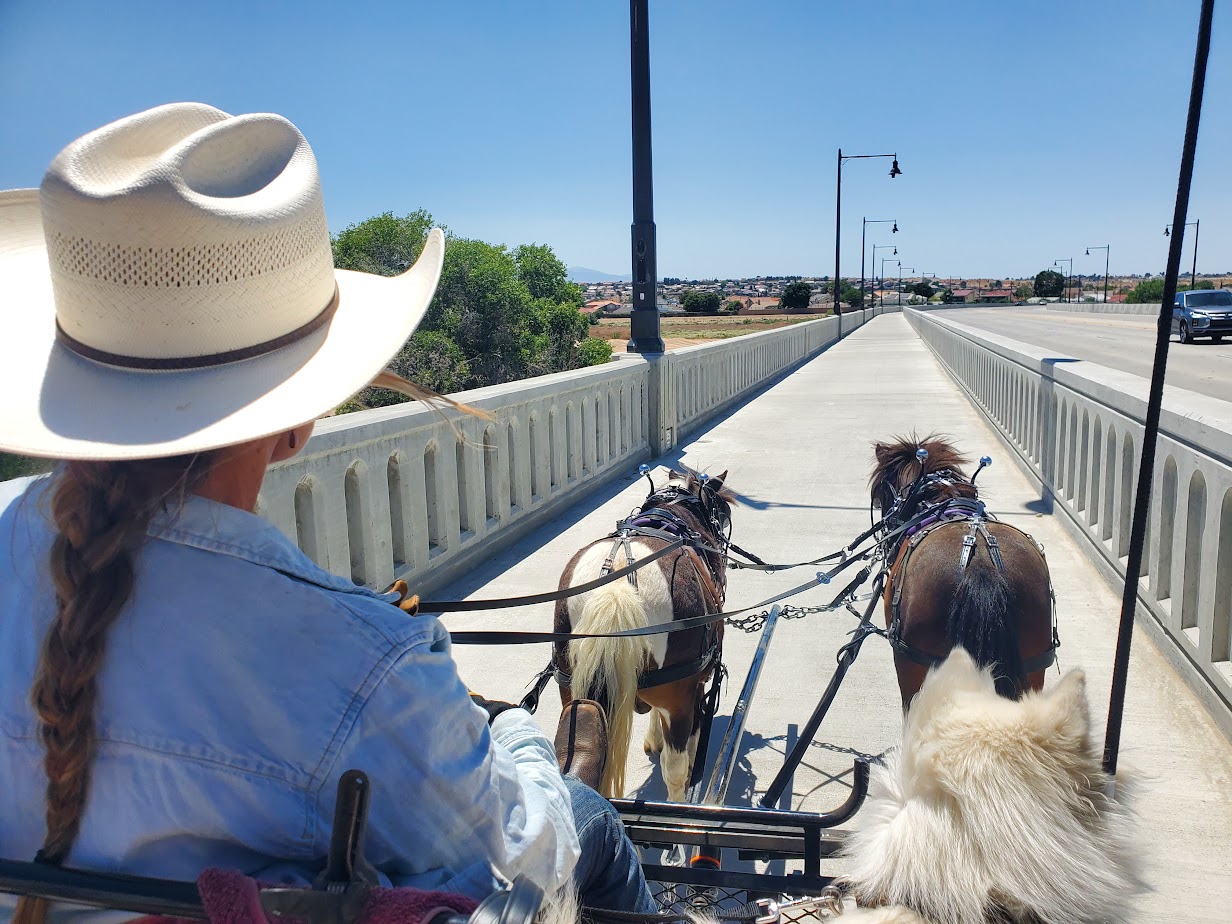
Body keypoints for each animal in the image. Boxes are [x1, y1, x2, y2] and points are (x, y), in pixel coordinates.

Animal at [554, 470, 734, 803]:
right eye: (722, 512)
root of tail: (616, 585)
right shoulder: (692, 686)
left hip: (570, 687)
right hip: (675, 691)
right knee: (673, 767)